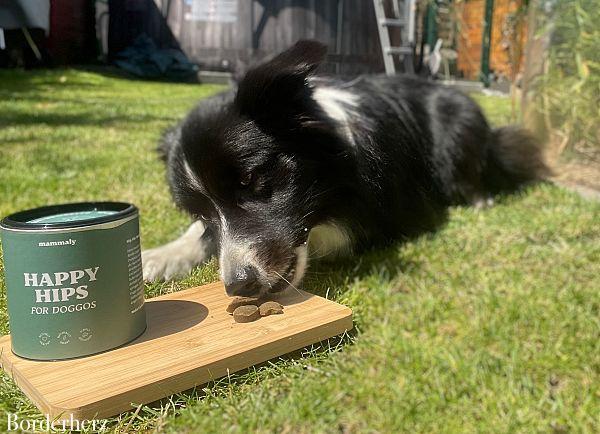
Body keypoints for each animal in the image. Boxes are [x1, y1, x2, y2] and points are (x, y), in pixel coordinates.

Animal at [142, 40, 548, 296]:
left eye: (252, 180)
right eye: (202, 213)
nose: (238, 286)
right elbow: (199, 235)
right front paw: (160, 255)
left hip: (458, 125)